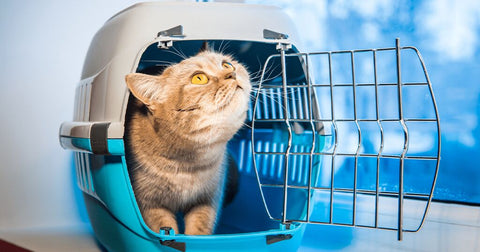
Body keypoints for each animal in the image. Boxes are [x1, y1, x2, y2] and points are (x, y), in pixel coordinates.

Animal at [124, 47, 251, 236]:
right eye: (199, 78)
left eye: (227, 64)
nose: (232, 74)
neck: (190, 165)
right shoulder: (150, 206)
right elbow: (165, 228)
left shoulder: (207, 201)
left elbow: (199, 231)